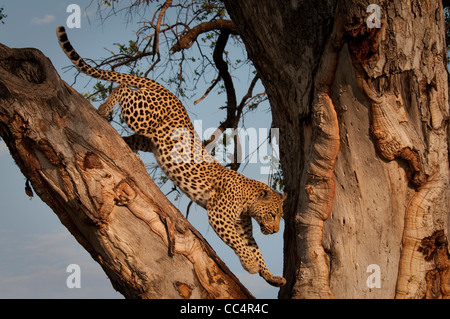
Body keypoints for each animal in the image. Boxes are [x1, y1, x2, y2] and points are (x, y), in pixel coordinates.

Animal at [58, 26, 286, 288]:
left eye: (279, 217)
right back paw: (104, 109)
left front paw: (271, 276)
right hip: (141, 115)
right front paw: (250, 264)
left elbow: (255, 248)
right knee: (123, 87)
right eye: (273, 215)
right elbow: (240, 245)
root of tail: (166, 90)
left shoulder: (242, 227)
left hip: (149, 138)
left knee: (128, 135)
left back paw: (125, 146)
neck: (248, 202)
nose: (275, 231)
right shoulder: (219, 215)